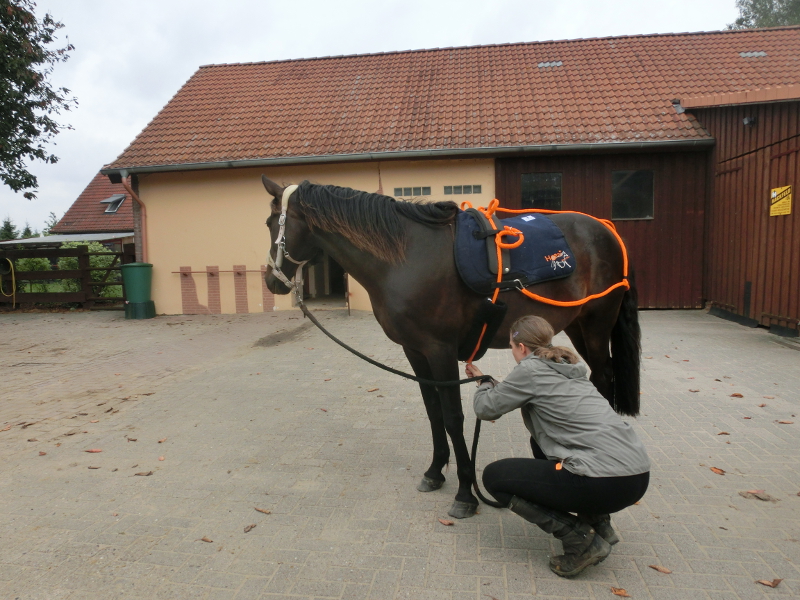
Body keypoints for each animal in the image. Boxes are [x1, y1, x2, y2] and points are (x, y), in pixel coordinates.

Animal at [261, 176, 641, 519]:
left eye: (269, 222)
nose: (271, 281)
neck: (406, 256)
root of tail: (607, 230)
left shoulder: (439, 350)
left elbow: (454, 417)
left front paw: (464, 493)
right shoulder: (415, 351)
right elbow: (434, 412)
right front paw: (434, 472)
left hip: (596, 324)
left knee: (603, 377)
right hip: (576, 324)